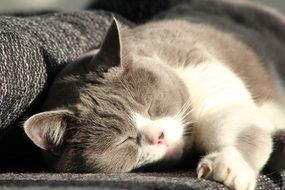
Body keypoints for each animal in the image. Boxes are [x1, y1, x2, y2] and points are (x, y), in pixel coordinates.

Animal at [22, 0, 285, 189]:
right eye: (124, 139)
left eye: (150, 106)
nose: (159, 136)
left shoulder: (209, 79)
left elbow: (239, 125)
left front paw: (228, 165)